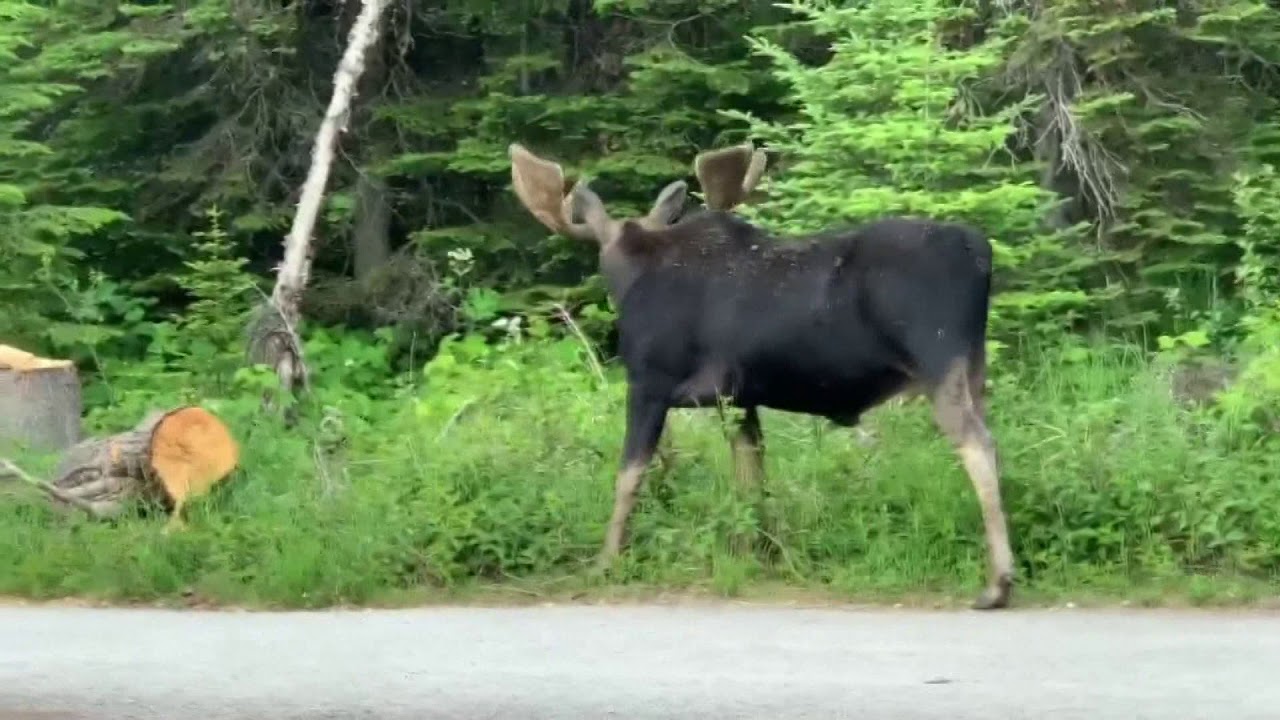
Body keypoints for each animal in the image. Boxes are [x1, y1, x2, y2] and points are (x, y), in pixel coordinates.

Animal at [507, 141, 1016, 610]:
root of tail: (981, 253)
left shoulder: (649, 382)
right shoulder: (738, 397)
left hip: (936, 359)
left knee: (978, 444)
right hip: (973, 367)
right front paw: (760, 555)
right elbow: (752, 477)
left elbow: (629, 475)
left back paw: (998, 583)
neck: (633, 271)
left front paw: (605, 561)